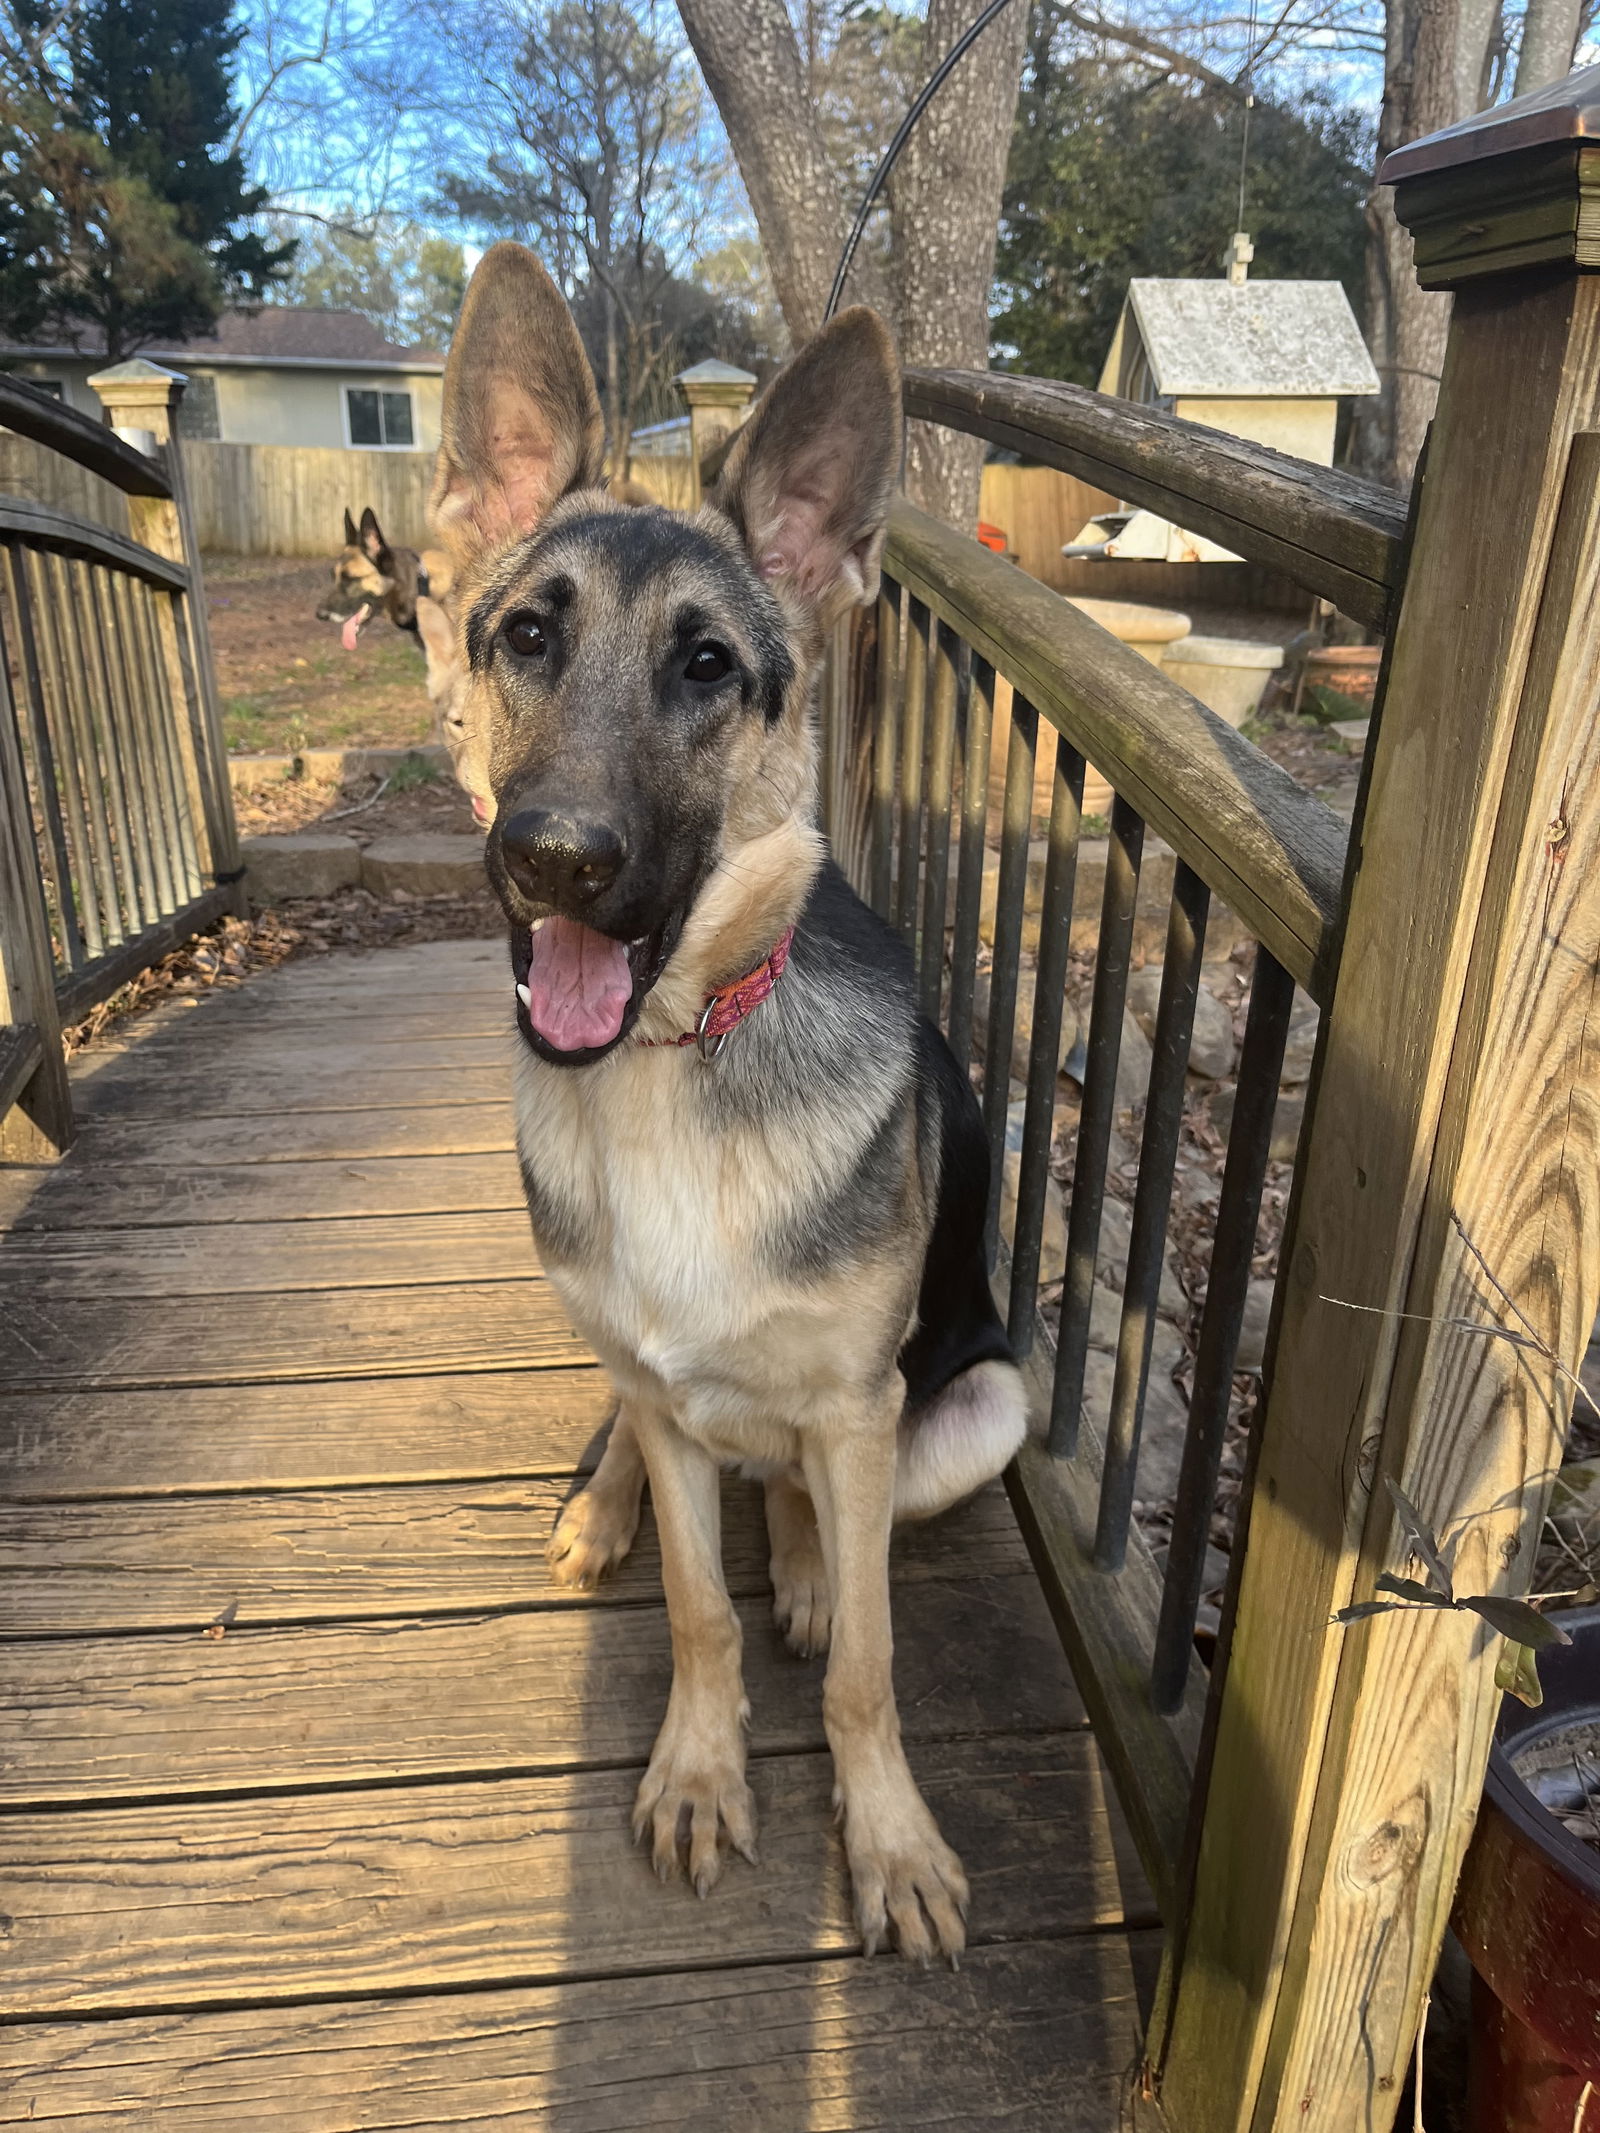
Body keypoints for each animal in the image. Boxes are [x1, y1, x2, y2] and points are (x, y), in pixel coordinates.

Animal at [428, 242, 1028, 1953]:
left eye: (709, 665)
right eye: (527, 637)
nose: (555, 860)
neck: (671, 1065)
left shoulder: (860, 1405)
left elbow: (871, 1673)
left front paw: (888, 1842)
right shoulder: (657, 1379)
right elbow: (699, 1610)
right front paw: (699, 1770)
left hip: (977, 1409)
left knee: (826, 1503)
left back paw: (815, 1559)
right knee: (664, 1437)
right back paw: (607, 1499)